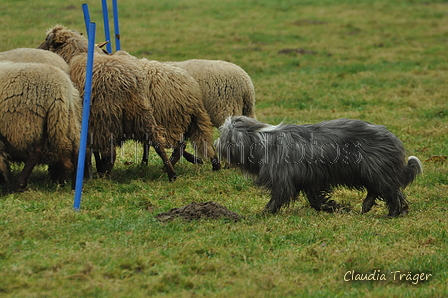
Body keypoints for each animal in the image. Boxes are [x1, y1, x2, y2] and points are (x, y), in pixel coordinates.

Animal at [217, 116, 424, 217]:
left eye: (224, 135)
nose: (216, 144)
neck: (263, 141)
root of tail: (392, 137)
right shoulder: (310, 179)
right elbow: (315, 201)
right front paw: (335, 207)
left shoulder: (284, 180)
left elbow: (278, 197)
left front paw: (263, 213)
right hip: (367, 172)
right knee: (376, 190)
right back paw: (366, 206)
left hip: (374, 169)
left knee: (392, 192)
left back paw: (393, 213)